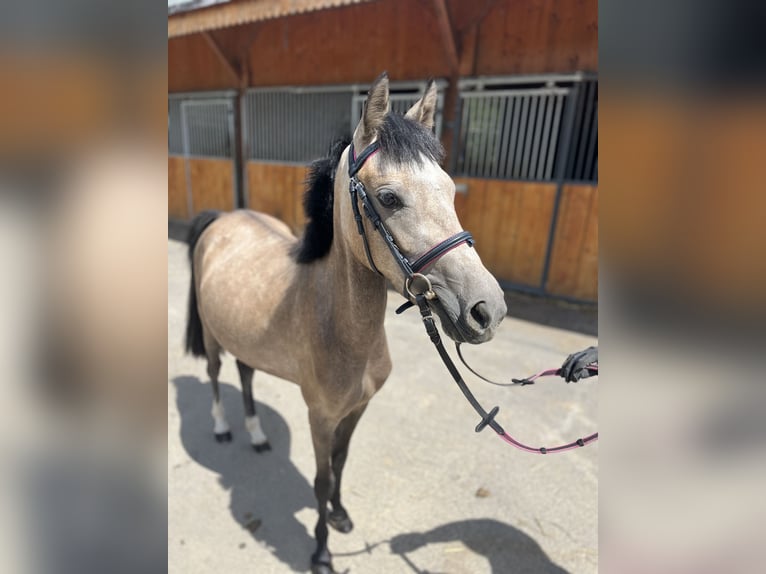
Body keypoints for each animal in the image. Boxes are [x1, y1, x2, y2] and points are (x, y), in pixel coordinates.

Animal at [184, 73, 510, 574]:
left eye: (451, 189)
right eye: (390, 198)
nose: (486, 309)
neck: (341, 329)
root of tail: (223, 219)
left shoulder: (357, 409)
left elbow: (341, 463)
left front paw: (340, 516)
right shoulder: (320, 416)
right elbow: (320, 478)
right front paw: (320, 552)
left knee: (245, 375)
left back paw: (257, 436)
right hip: (213, 336)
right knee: (218, 375)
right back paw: (223, 429)